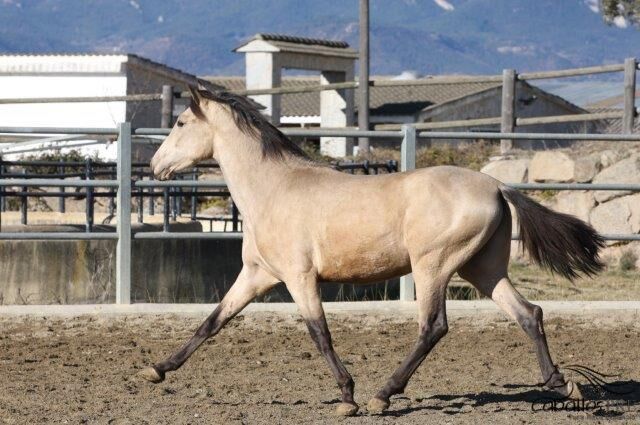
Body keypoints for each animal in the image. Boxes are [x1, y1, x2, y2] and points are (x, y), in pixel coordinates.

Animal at [141, 85, 604, 414]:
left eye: (180, 123)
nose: (155, 166)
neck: (272, 189)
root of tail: (496, 185)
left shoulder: (298, 277)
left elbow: (320, 333)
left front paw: (348, 397)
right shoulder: (258, 275)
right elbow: (212, 322)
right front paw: (157, 370)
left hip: (433, 266)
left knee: (434, 327)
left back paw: (383, 395)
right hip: (482, 269)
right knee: (529, 314)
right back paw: (562, 385)